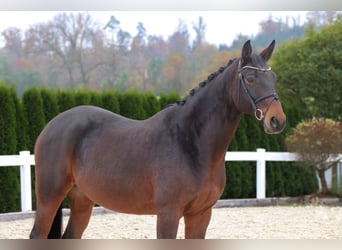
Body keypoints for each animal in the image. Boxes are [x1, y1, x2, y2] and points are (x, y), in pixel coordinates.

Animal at [30, 39, 286, 238]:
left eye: (274, 77)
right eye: (250, 78)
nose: (277, 120)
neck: (191, 143)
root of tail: (53, 125)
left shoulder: (201, 214)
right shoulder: (168, 214)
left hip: (82, 200)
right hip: (50, 196)